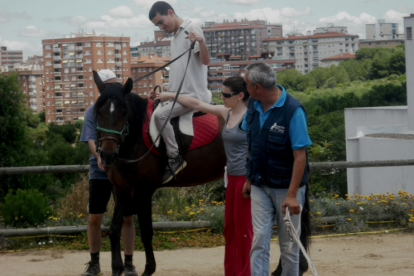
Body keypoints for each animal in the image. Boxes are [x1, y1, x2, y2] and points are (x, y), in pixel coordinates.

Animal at [91, 74, 310, 276]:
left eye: (123, 112)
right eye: (98, 112)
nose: (108, 155)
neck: (136, 138)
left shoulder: (142, 192)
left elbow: (146, 231)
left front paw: (148, 269)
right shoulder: (121, 190)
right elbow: (113, 229)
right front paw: (117, 268)